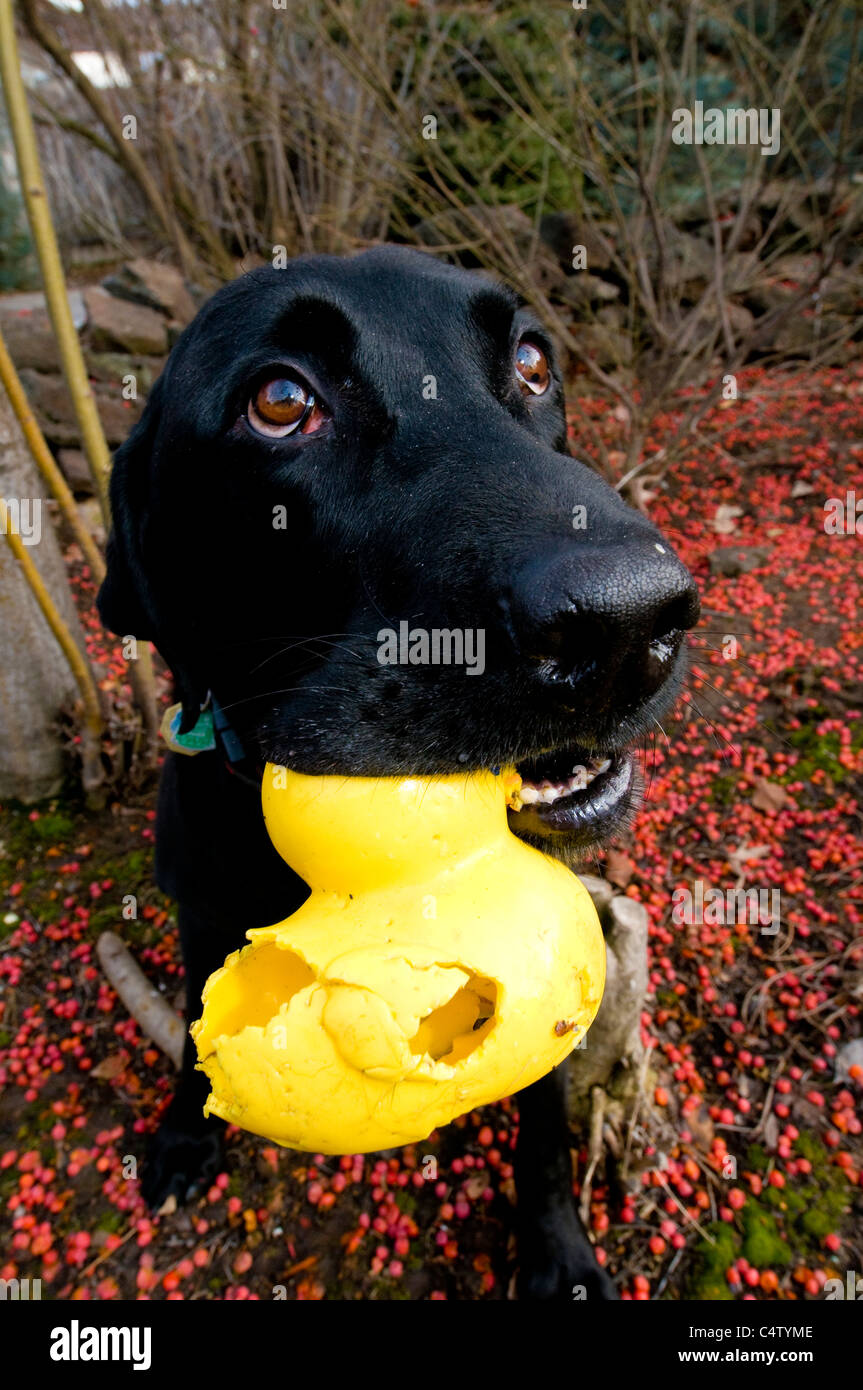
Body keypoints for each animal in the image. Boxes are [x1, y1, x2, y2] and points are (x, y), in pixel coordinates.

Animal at [97, 244, 697, 1295]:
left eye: (532, 362)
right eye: (279, 401)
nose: (627, 625)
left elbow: (544, 1115)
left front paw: (554, 1248)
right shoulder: (201, 913)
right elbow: (196, 1027)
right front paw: (179, 1134)